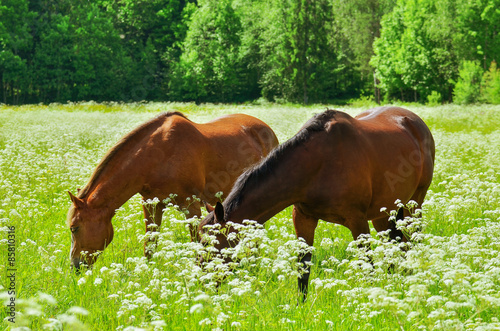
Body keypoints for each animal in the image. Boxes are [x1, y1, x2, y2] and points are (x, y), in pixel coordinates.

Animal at [67, 112, 280, 272]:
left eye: (74, 228)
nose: (75, 266)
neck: (158, 154)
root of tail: (266, 129)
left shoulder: (192, 207)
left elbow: (196, 241)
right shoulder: (151, 205)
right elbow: (150, 244)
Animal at [198, 106, 434, 300]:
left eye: (211, 244)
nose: (201, 284)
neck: (318, 163)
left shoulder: (357, 221)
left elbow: (366, 263)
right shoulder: (304, 218)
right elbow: (303, 266)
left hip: (414, 205)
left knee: (412, 242)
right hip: (384, 213)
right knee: (396, 243)